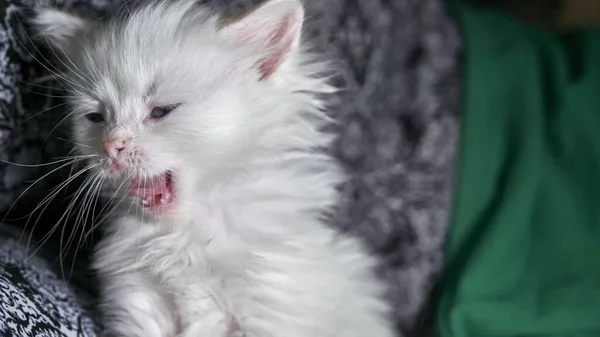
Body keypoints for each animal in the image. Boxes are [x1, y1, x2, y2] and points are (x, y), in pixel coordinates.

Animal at [35, 0, 396, 336]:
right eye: (96, 118)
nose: (111, 146)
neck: (185, 234)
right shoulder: (140, 297)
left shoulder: (266, 308)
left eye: (161, 111)